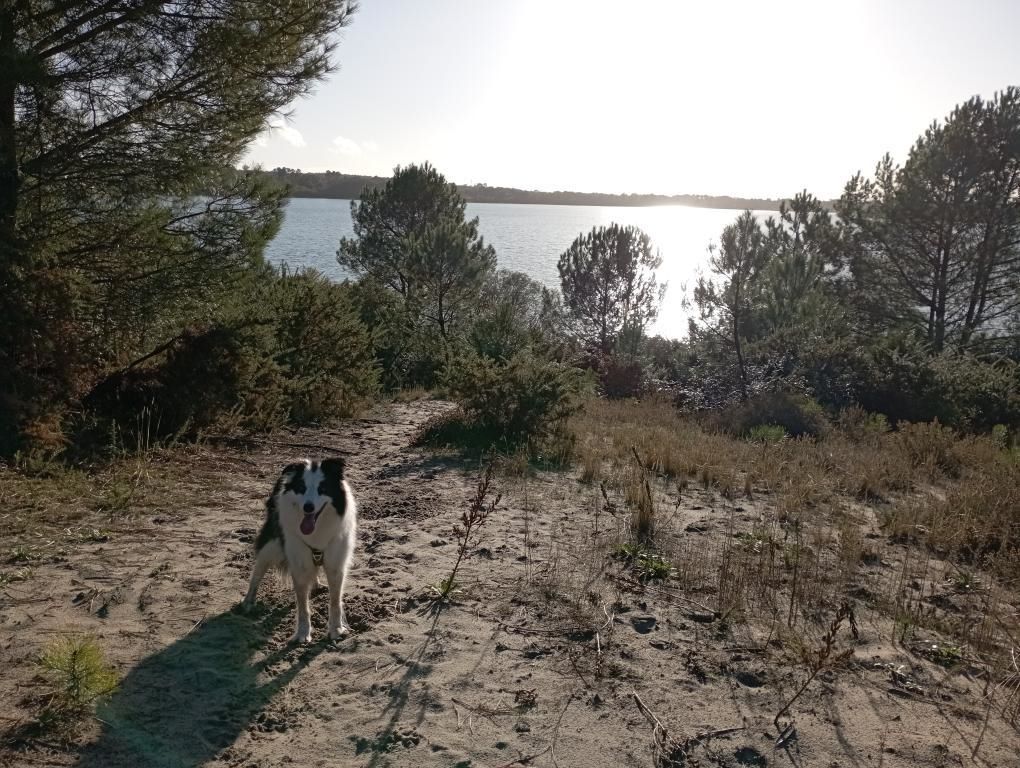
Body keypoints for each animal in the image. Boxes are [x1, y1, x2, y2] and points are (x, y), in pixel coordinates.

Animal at [243, 454, 359, 640]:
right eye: (301, 488)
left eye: (323, 488)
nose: (308, 507)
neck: (318, 528)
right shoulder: (299, 562)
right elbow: (303, 606)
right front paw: (303, 634)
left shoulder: (336, 564)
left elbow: (335, 601)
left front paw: (336, 629)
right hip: (272, 543)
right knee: (258, 570)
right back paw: (248, 601)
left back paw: (317, 583)